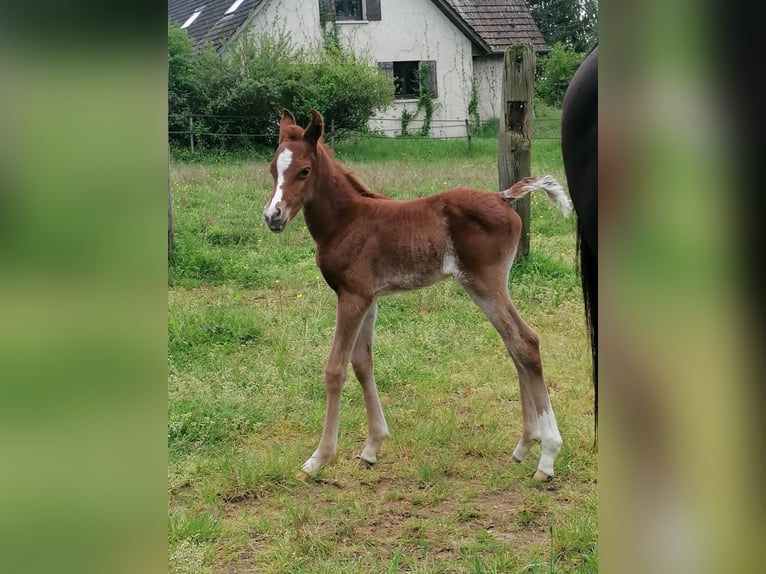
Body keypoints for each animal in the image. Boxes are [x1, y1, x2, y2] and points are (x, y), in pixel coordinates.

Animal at [264, 108, 568, 482]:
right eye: (273, 168)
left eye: (304, 171)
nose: (272, 217)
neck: (346, 221)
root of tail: (502, 196)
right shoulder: (368, 298)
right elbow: (362, 363)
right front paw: (371, 448)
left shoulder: (351, 296)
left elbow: (335, 369)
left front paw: (318, 458)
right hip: (485, 287)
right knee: (514, 344)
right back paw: (525, 445)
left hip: (485, 283)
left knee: (525, 341)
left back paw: (547, 456)